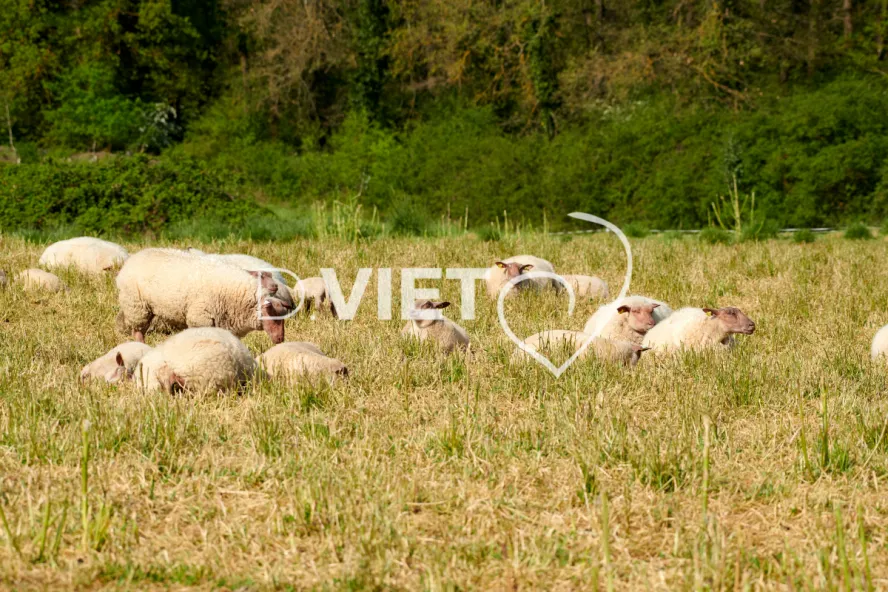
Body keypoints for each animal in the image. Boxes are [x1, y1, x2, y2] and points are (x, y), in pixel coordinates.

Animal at [116, 248, 290, 344]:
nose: (280, 340)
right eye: (274, 318)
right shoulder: (200, 317)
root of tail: (134, 257)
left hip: (148, 308)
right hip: (136, 305)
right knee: (137, 331)